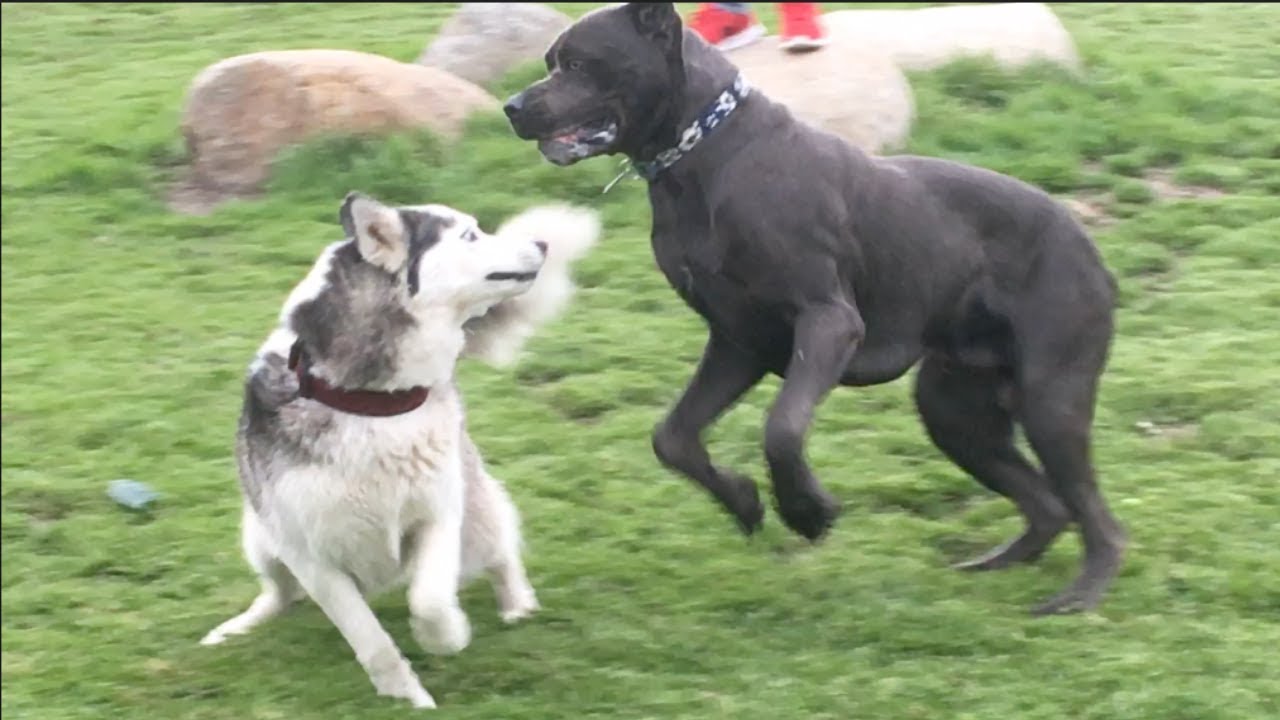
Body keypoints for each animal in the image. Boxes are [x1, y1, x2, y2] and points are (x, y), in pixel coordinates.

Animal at [199, 190, 599, 707]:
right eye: (470, 235)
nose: (541, 243)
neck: (372, 404)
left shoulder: (439, 515)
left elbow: (429, 600)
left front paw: (448, 636)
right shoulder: (310, 557)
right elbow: (371, 641)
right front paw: (406, 697)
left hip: (473, 518)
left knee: (500, 548)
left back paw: (517, 603)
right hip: (261, 541)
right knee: (280, 595)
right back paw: (239, 626)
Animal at [504, 2, 1126, 614]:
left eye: (579, 64)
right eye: (550, 61)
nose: (512, 107)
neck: (702, 154)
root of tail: (1091, 250)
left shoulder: (826, 322)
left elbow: (782, 428)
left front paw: (807, 511)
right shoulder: (737, 342)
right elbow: (673, 437)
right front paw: (745, 502)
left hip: (1050, 399)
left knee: (1098, 516)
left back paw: (1078, 597)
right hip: (954, 412)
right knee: (1049, 504)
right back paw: (995, 565)